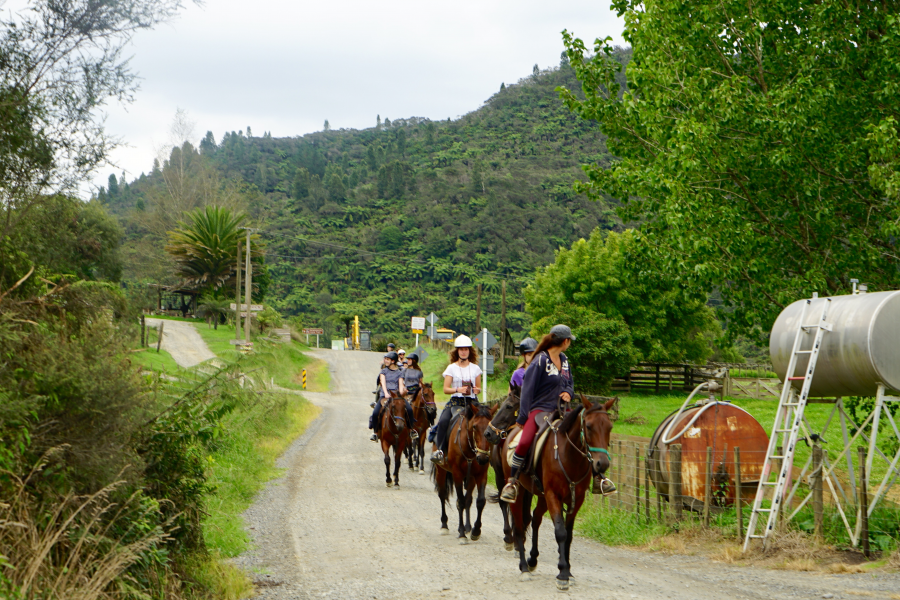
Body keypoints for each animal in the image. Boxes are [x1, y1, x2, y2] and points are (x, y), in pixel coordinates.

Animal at [430, 404, 500, 544]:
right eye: (475, 427)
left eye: (489, 429)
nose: (483, 458)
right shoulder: (457, 474)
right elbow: (460, 502)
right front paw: (462, 534)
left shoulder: (480, 475)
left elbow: (480, 501)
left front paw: (475, 531)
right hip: (441, 470)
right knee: (442, 494)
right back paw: (444, 525)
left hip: (471, 478)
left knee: (468, 499)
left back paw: (468, 527)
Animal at [496, 394, 616, 592]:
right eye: (589, 426)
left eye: (609, 427)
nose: (602, 464)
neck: (569, 456)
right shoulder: (554, 495)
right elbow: (560, 532)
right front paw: (563, 574)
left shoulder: (576, 499)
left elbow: (569, 535)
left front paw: (568, 571)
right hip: (520, 493)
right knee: (519, 527)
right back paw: (524, 567)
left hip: (542, 496)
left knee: (535, 518)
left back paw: (532, 559)